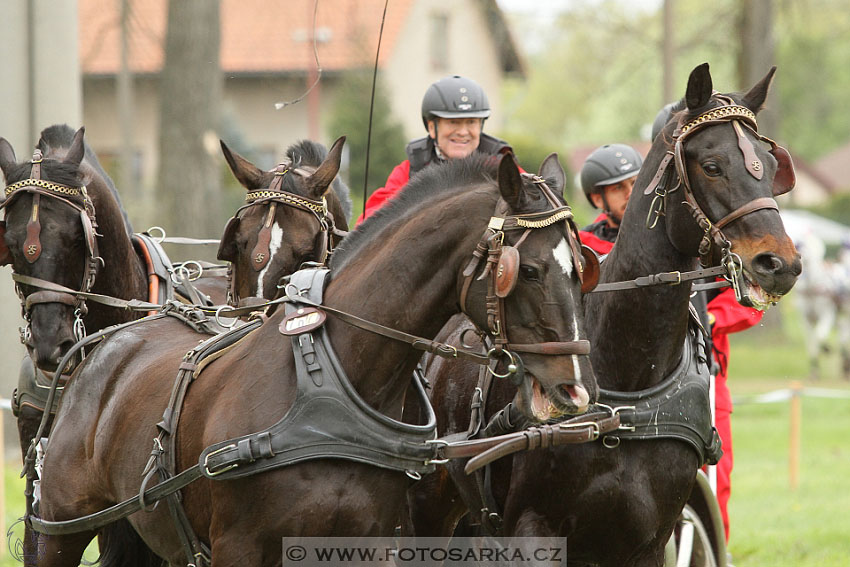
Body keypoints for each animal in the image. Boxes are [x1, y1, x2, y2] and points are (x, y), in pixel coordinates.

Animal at [36, 152, 596, 567]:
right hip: (61, 526)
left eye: (580, 267)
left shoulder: (370, 543)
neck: (333, 387)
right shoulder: (239, 547)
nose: (572, 389)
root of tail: (105, 345)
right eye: (526, 271)